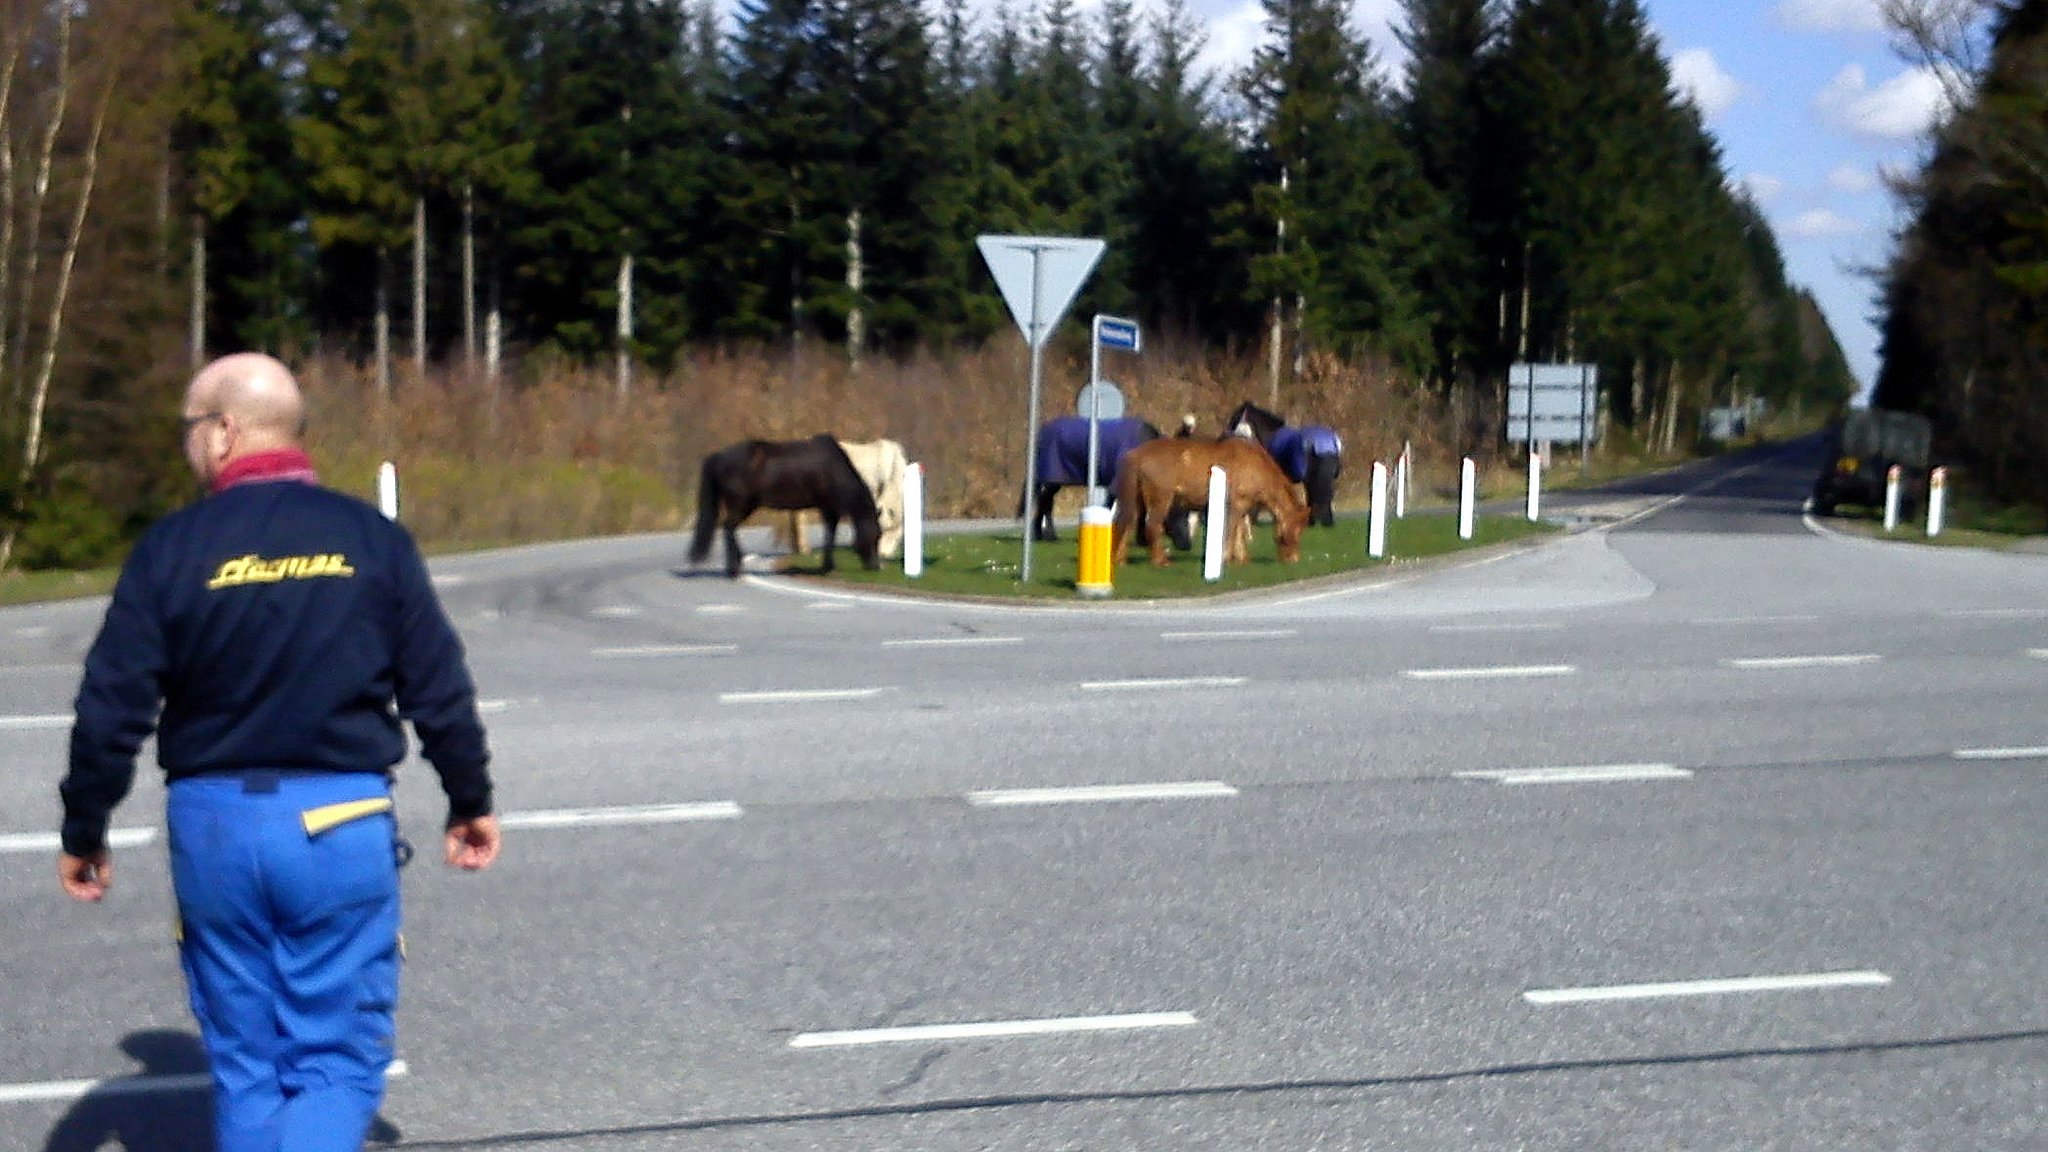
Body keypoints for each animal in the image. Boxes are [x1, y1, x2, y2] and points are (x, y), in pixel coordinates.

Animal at [688, 432, 880, 573]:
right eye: (875, 535)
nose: (876, 566)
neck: (833, 468)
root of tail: (718, 456)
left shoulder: (830, 509)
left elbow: (830, 533)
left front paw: (828, 565)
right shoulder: (828, 508)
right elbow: (830, 533)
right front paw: (827, 566)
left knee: (730, 528)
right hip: (740, 506)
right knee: (728, 528)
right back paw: (734, 570)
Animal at [1024, 412, 1196, 553]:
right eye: (1178, 513)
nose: (1187, 545)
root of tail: (1043, 431)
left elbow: (1140, 511)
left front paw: (1142, 540)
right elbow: (1111, 506)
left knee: (1046, 501)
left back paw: (1044, 535)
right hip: (1052, 479)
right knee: (1045, 502)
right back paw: (1044, 535)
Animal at [1114, 434, 1302, 565]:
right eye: (1296, 531)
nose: (1294, 559)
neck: (1257, 465)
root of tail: (1136, 454)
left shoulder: (1243, 508)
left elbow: (1240, 531)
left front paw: (1242, 559)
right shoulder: (1236, 506)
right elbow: (1232, 531)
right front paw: (1226, 557)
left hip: (1137, 501)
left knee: (1127, 524)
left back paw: (1121, 560)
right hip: (1161, 500)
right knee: (1153, 526)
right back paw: (1160, 561)